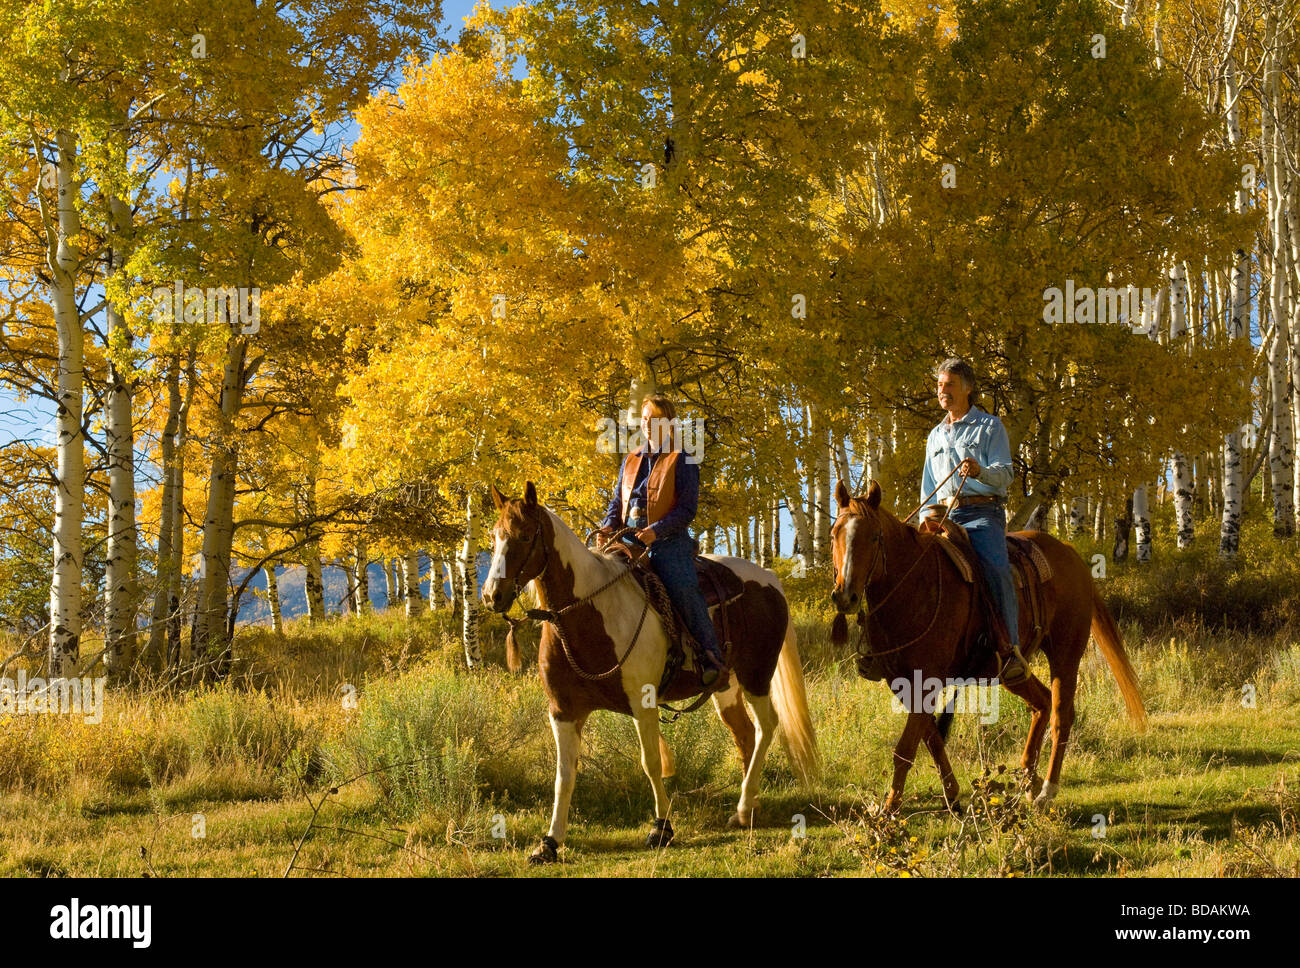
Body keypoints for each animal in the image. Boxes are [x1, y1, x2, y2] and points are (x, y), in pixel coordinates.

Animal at [481, 481, 820, 863]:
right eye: (494, 536)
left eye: (524, 536)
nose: (492, 596)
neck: (588, 613)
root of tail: (769, 578)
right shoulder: (563, 711)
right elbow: (564, 774)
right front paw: (550, 842)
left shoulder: (643, 703)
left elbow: (651, 763)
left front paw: (662, 828)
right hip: (725, 686)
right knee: (745, 734)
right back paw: (749, 808)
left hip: (756, 676)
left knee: (766, 727)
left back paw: (746, 807)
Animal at [829, 479, 1145, 813]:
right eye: (834, 533)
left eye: (874, 536)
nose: (845, 595)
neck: (914, 584)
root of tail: (1071, 555)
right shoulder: (901, 682)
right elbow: (931, 738)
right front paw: (952, 794)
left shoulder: (926, 679)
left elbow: (906, 747)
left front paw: (889, 810)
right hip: (1011, 670)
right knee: (1042, 702)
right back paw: (1028, 780)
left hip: (1065, 654)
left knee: (1062, 714)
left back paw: (1047, 790)